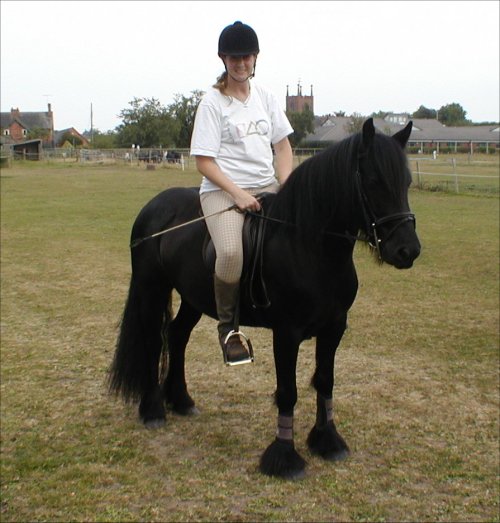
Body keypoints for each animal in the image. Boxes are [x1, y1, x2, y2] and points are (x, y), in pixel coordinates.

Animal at [109, 118, 422, 478]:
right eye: (373, 181)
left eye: (406, 182)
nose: (407, 250)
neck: (309, 246)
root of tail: (153, 207)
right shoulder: (286, 333)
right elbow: (288, 392)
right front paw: (284, 458)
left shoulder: (334, 328)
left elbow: (325, 381)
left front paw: (328, 441)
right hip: (152, 288)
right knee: (151, 340)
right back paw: (153, 410)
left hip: (193, 298)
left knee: (177, 335)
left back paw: (182, 400)